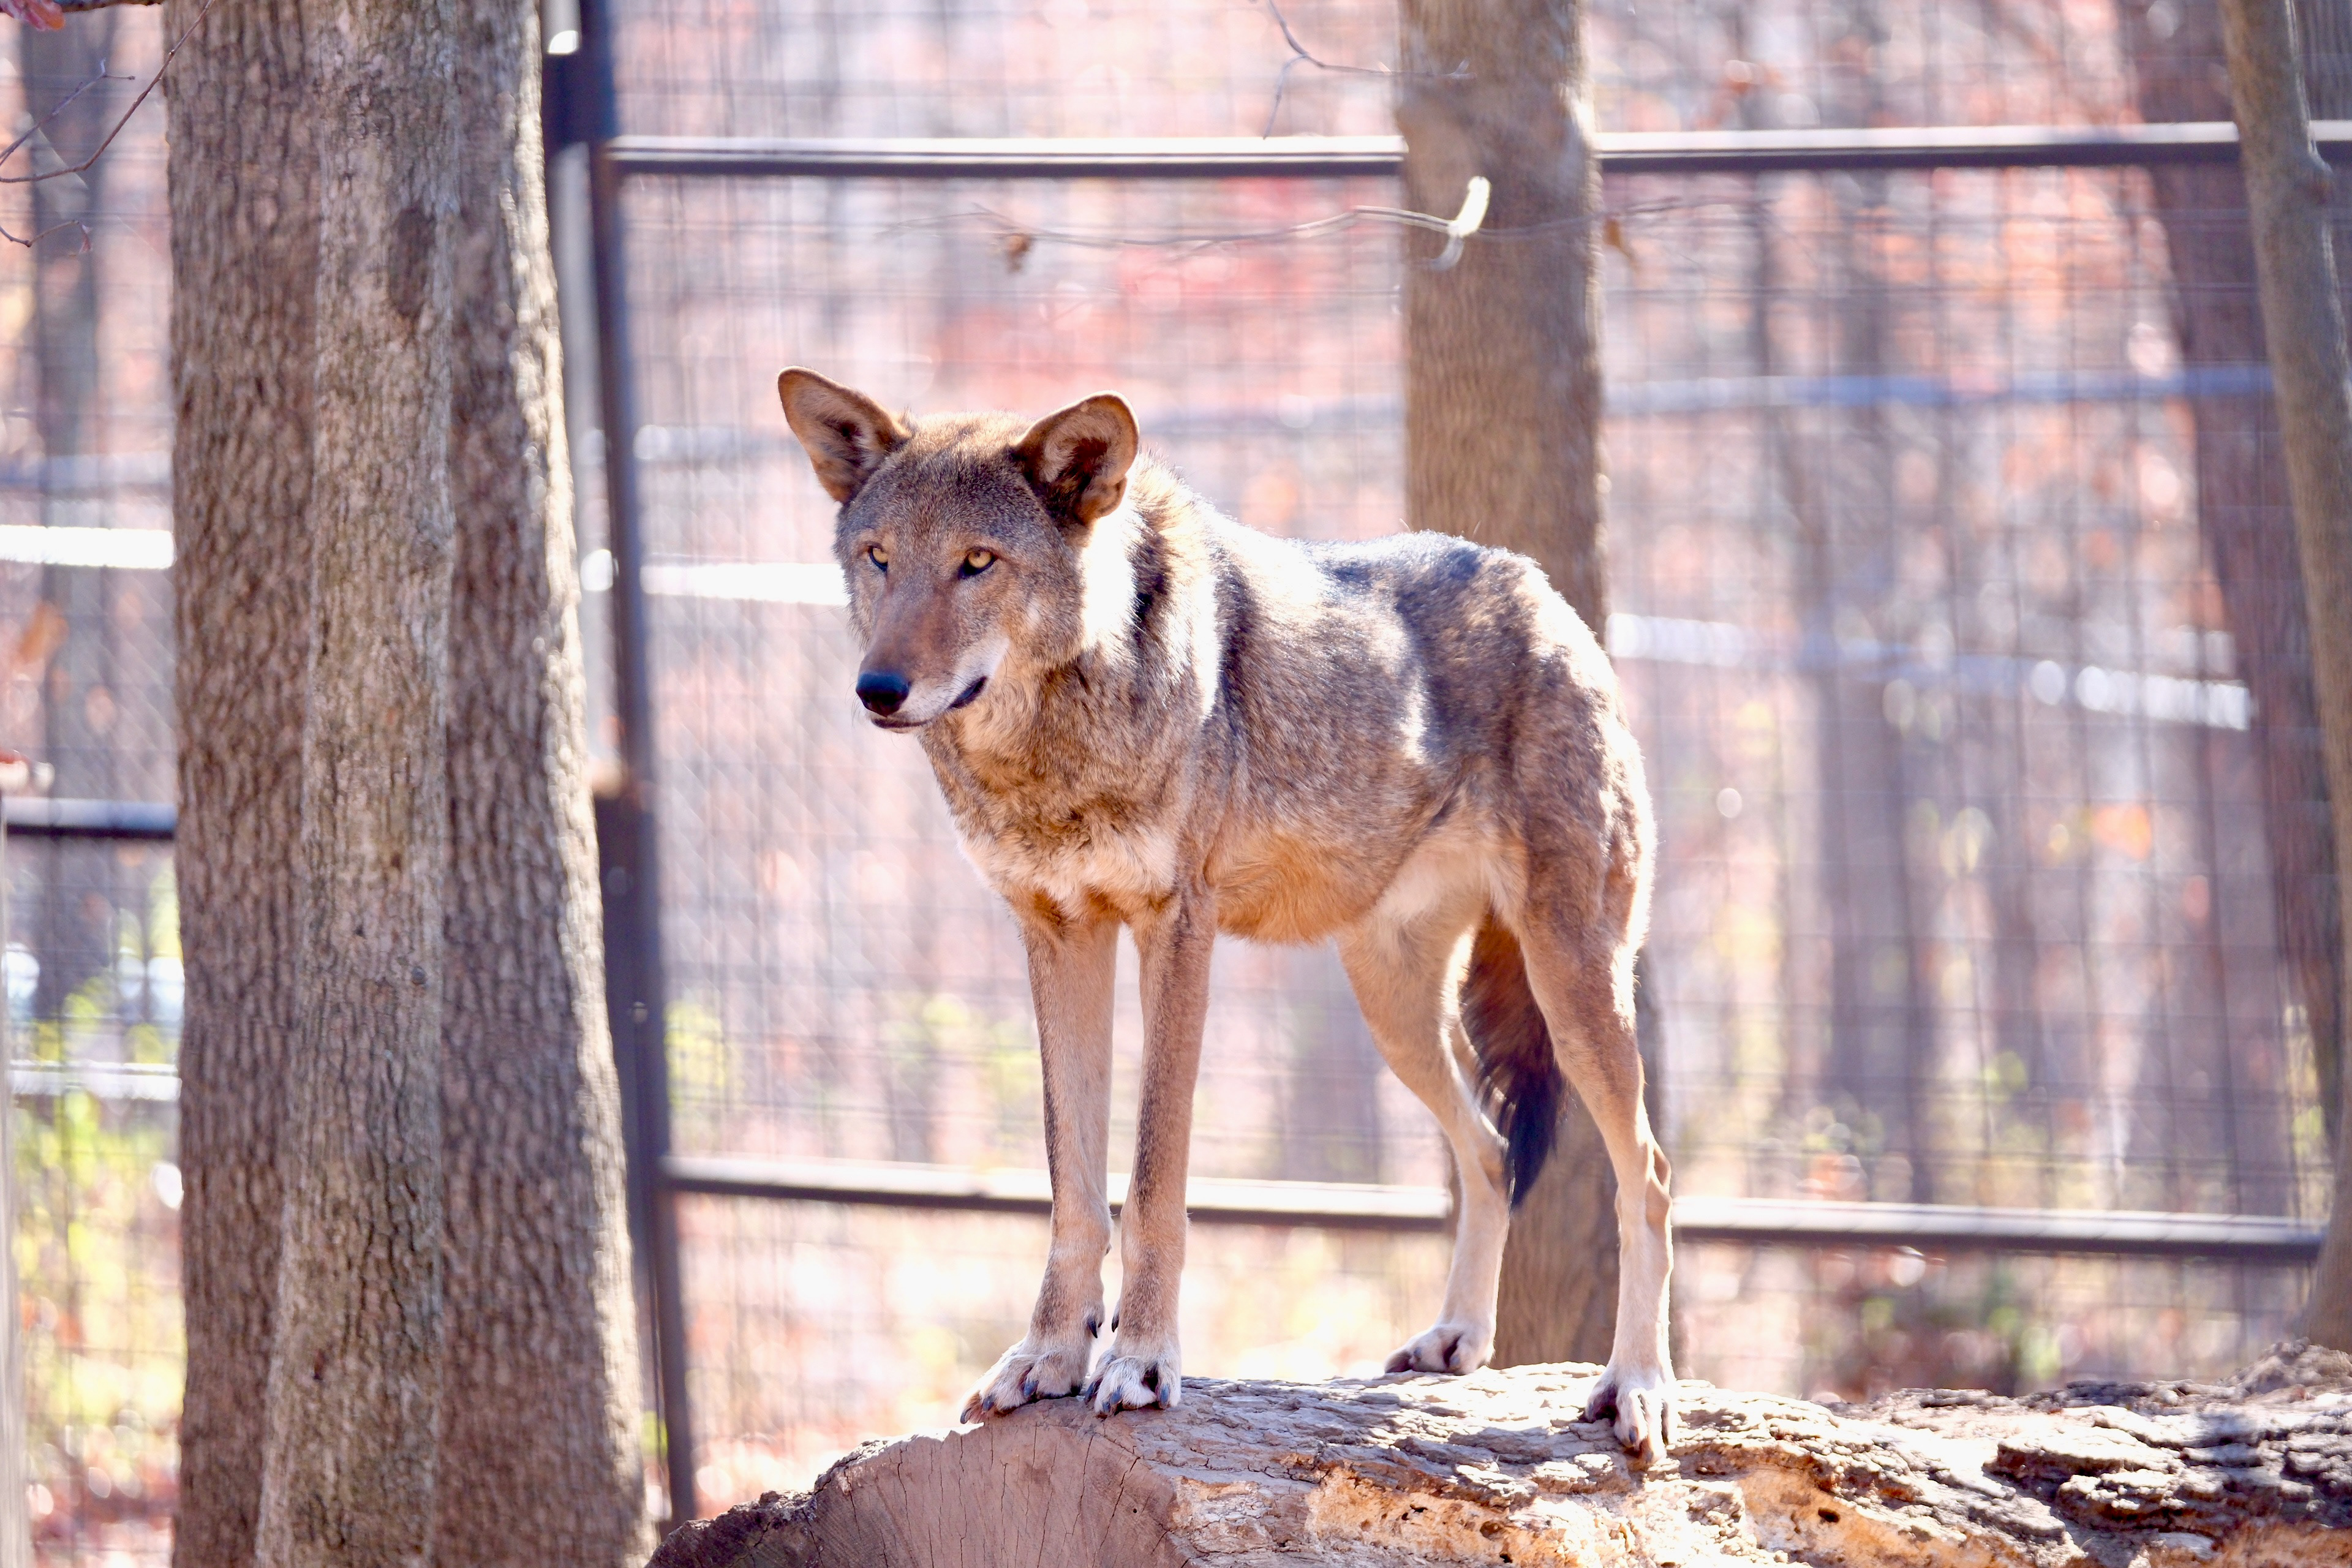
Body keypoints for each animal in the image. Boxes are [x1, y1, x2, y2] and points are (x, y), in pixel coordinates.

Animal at [777, 369, 1677, 1458]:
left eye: (976, 563)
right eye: (879, 558)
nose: (879, 688)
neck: (1053, 750)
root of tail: (1546, 594)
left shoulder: (1178, 932)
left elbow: (1152, 1184)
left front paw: (1139, 1363)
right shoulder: (1057, 934)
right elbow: (1073, 1192)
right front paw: (1048, 1358)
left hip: (1572, 983)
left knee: (1650, 1178)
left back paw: (1638, 1389)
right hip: (1396, 1013)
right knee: (1494, 1155)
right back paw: (1458, 1339)